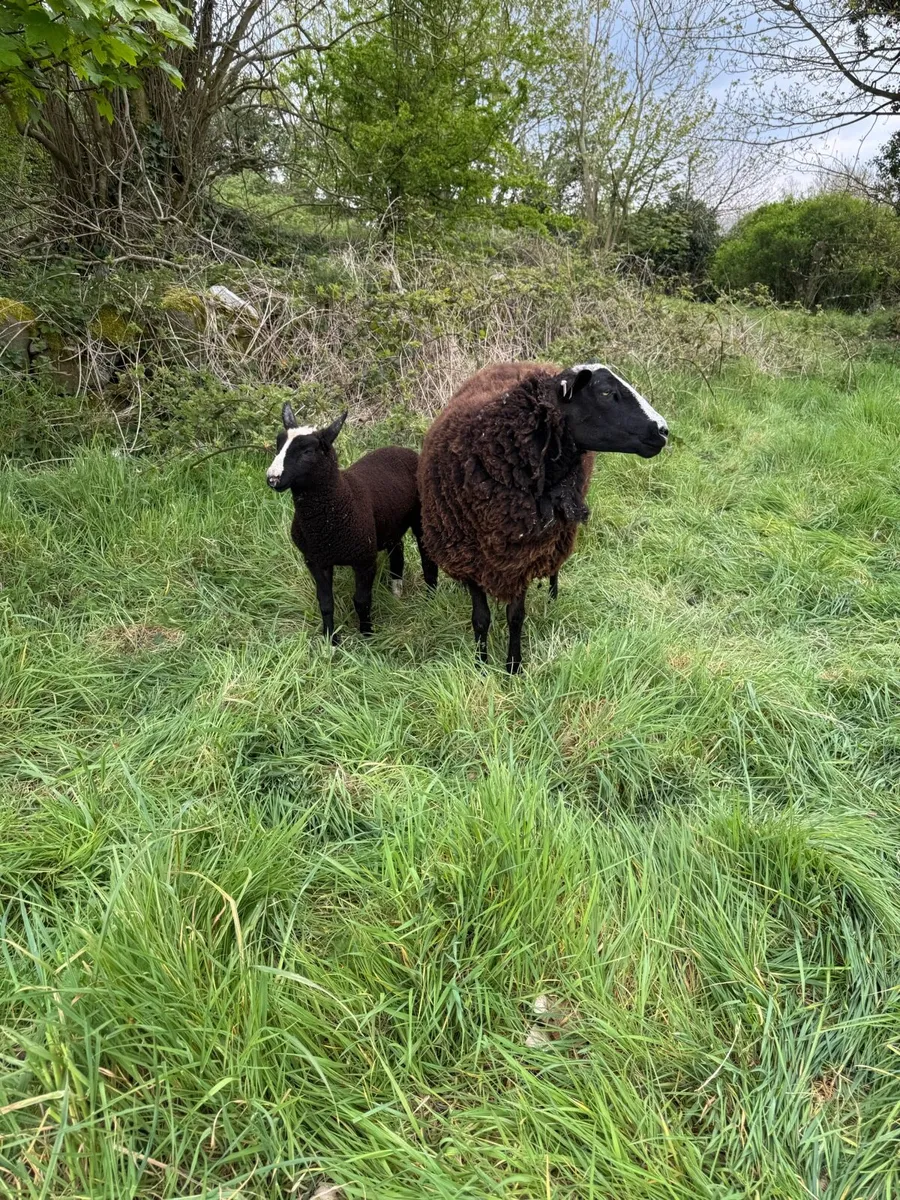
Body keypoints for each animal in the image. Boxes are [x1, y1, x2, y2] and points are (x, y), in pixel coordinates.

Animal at [267, 404, 438, 643]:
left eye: (307, 452)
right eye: (278, 444)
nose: (272, 478)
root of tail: (401, 449)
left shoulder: (364, 560)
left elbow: (361, 601)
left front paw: (367, 636)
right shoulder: (315, 560)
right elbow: (325, 603)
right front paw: (330, 640)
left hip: (420, 517)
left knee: (427, 559)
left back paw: (430, 599)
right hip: (389, 524)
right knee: (397, 549)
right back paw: (396, 590)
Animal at [418, 360, 668, 672]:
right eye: (605, 392)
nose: (663, 430)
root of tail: (532, 363)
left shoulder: (523, 555)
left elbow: (515, 617)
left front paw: (513, 667)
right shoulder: (467, 556)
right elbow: (481, 619)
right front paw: (480, 664)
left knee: (556, 565)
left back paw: (552, 597)